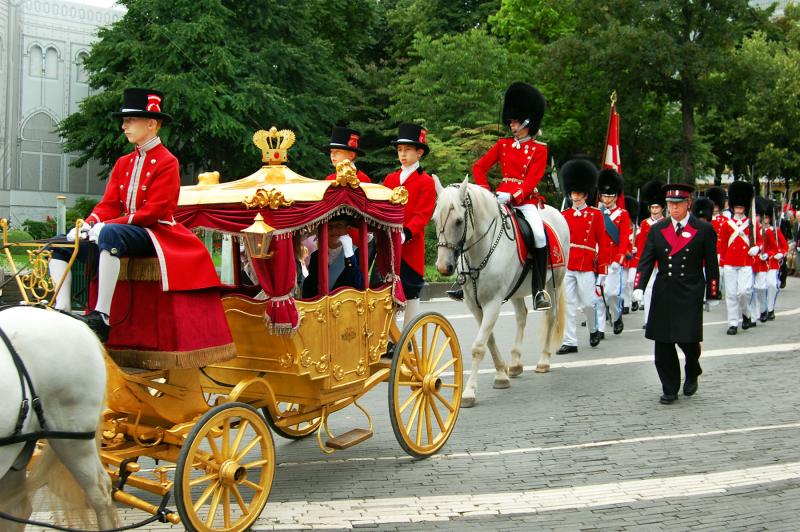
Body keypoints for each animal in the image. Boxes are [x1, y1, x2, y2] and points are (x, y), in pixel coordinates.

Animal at [432, 179, 568, 408]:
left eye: (459, 221)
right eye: (434, 219)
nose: (443, 267)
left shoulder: (493, 303)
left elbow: (479, 346)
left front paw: (469, 391)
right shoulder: (474, 304)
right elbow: (490, 341)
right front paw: (502, 374)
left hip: (554, 282)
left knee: (550, 317)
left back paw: (543, 360)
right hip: (517, 291)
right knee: (521, 316)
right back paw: (515, 363)